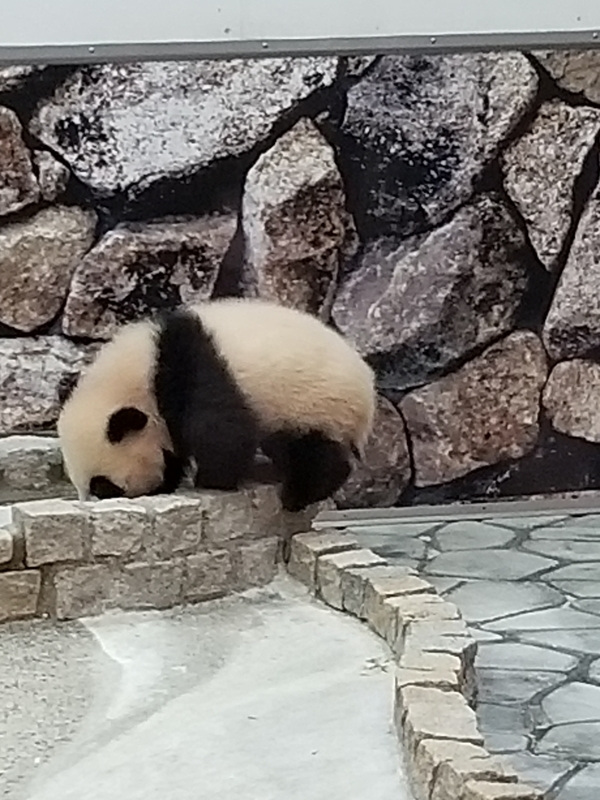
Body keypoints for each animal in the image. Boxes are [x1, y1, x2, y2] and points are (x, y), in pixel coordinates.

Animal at [57, 298, 376, 512]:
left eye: (102, 485)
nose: (93, 500)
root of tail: (368, 386)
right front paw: (166, 483)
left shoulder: (193, 367)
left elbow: (220, 430)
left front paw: (211, 481)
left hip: (317, 403)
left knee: (315, 452)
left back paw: (299, 495)